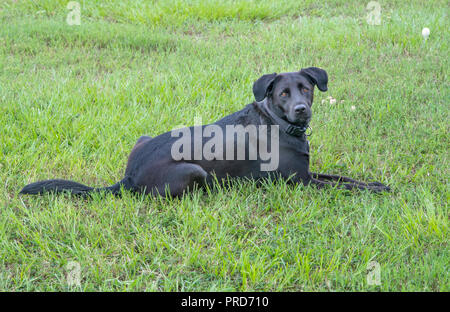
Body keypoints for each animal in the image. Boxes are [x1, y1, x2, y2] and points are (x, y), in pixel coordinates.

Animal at [19, 67, 388, 196]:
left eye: (306, 89)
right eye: (284, 94)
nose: (301, 109)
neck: (279, 123)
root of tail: (127, 178)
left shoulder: (310, 174)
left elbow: (344, 178)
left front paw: (376, 184)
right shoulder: (301, 183)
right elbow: (343, 187)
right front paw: (372, 191)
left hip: (142, 139)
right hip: (195, 171)